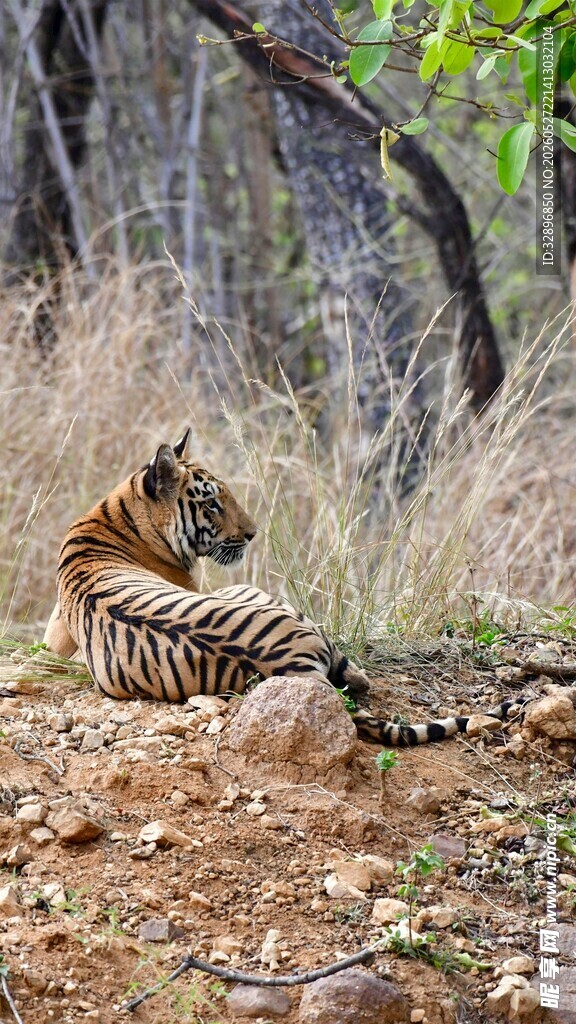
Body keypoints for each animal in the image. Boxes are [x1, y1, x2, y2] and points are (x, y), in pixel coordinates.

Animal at [43, 430, 524, 746]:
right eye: (212, 503)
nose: (253, 533)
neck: (116, 516)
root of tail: (293, 664)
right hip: (265, 599)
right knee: (359, 677)